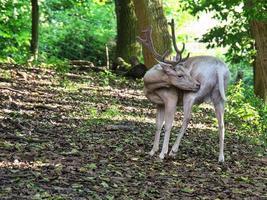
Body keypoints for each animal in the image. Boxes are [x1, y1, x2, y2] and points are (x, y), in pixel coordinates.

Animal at [138, 19, 230, 162]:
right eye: (180, 74)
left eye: (186, 72)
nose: (197, 84)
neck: (150, 86)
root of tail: (220, 68)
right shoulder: (159, 103)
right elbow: (158, 125)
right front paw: (152, 151)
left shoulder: (171, 97)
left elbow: (168, 124)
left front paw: (162, 153)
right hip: (219, 96)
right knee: (222, 124)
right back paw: (221, 158)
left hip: (190, 95)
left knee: (186, 119)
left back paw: (173, 150)